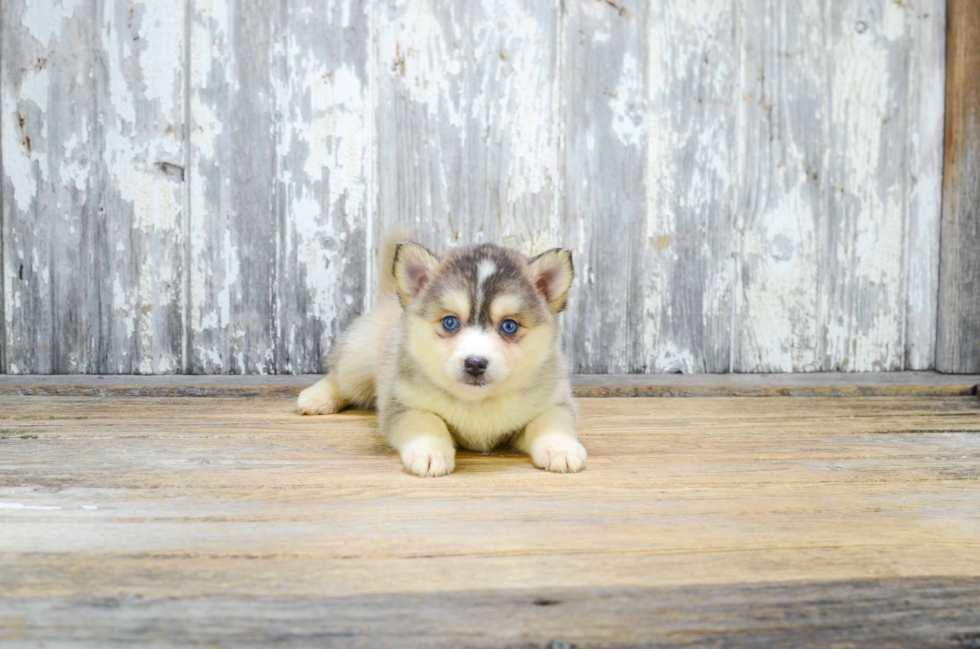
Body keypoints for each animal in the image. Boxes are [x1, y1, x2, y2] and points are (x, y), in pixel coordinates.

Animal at [294, 235, 584, 478]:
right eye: (450, 322)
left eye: (509, 326)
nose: (475, 364)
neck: (477, 403)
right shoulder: (404, 403)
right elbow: (427, 422)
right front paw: (429, 451)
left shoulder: (552, 402)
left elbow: (551, 423)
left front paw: (561, 448)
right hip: (358, 359)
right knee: (340, 378)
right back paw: (317, 398)